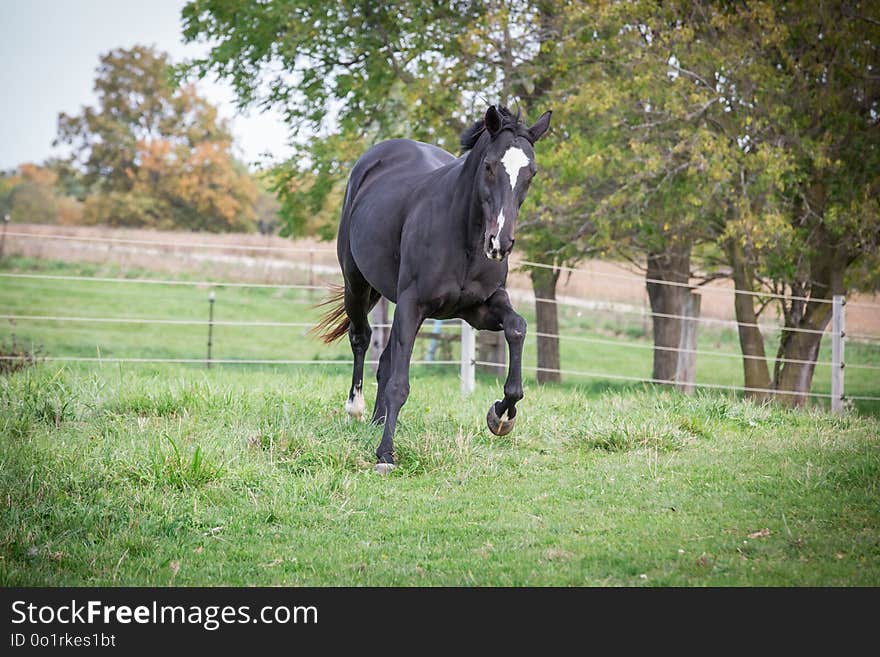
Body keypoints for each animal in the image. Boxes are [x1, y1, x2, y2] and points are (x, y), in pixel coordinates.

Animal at [314, 104, 552, 472]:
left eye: (531, 173)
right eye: (489, 166)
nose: (500, 243)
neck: (463, 238)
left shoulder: (480, 308)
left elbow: (517, 327)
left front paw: (501, 415)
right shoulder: (413, 304)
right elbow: (399, 383)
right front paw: (386, 454)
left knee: (385, 357)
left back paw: (378, 420)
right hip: (357, 282)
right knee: (361, 338)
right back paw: (356, 409)